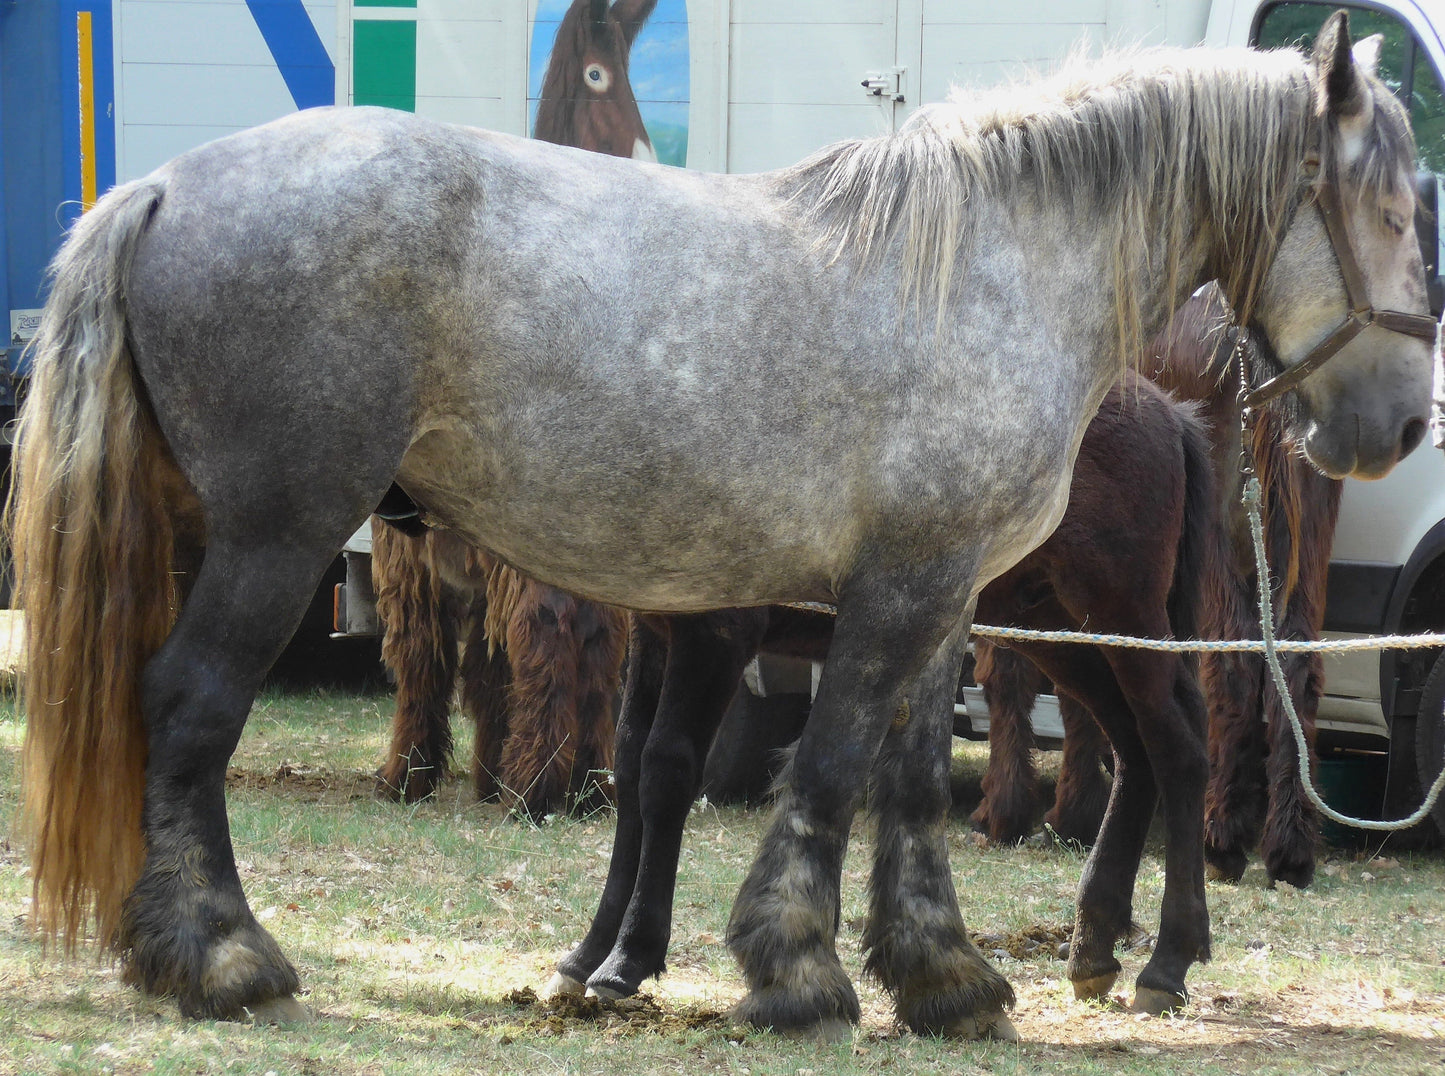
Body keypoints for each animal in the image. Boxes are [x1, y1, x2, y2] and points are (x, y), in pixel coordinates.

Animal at [8, 10, 1433, 1039]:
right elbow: (828, 768)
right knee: (190, 706)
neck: (993, 267)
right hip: (276, 536)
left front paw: (941, 975)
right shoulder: (884, 595)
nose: (1399, 425)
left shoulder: (938, 594)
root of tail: (159, 188)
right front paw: (794, 972)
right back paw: (220, 956)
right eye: (1395, 209)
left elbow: (905, 782)